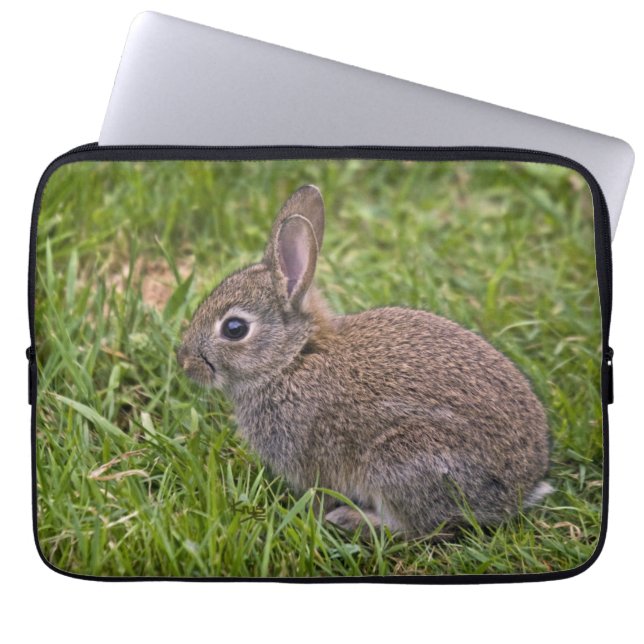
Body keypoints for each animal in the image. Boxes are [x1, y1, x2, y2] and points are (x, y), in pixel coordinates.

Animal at [177, 185, 551, 538]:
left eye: (234, 329)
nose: (185, 363)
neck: (291, 359)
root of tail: (518, 491)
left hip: (402, 460)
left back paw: (352, 519)